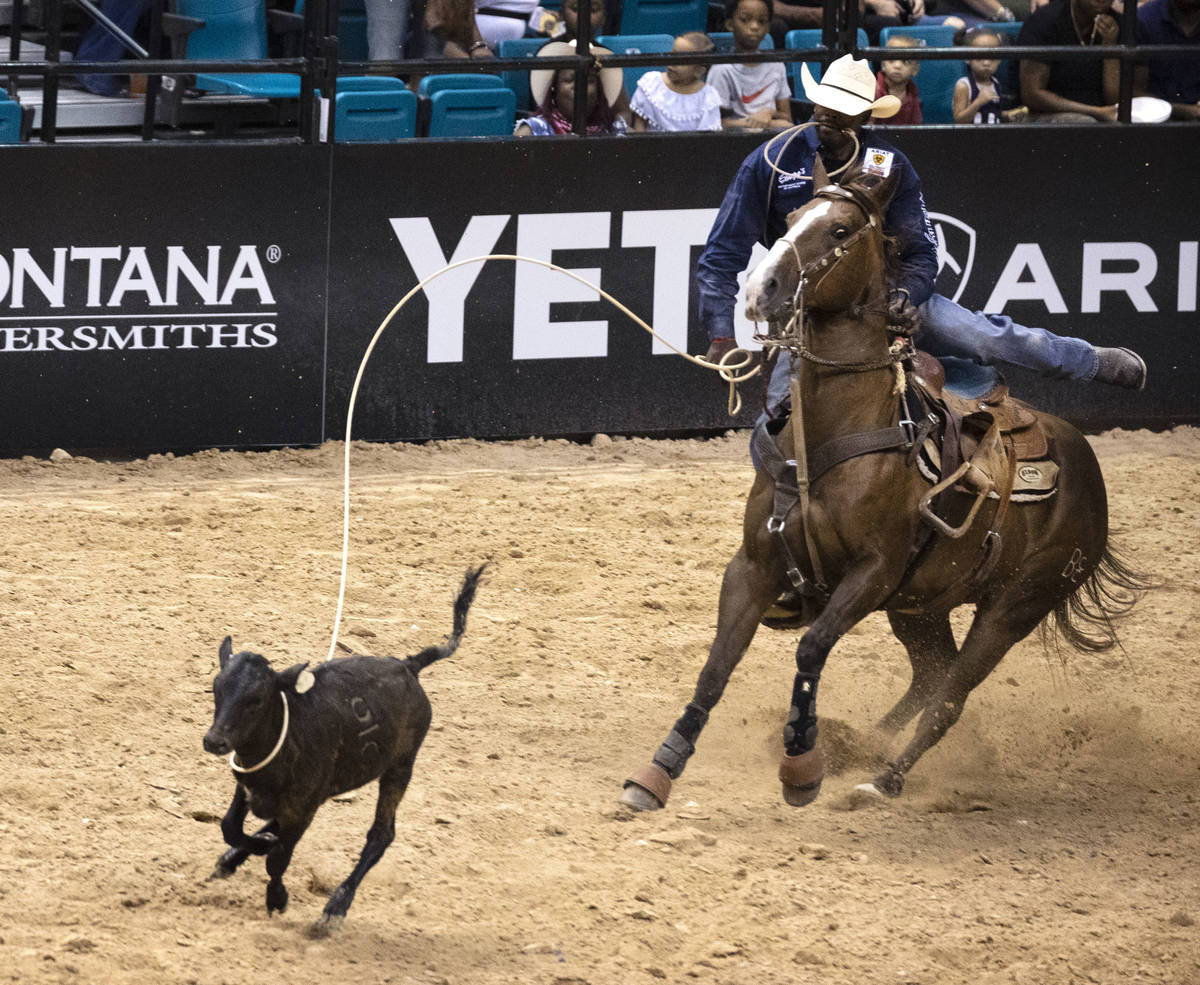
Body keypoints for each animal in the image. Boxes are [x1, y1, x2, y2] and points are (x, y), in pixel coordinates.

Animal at [204, 563, 484, 935]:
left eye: (257, 699)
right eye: (216, 687)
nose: (214, 740)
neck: (289, 736)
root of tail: (409, 666)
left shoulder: (302, 809)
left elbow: (278, 859)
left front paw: (277, 899)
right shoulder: (248, 788)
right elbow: (231, 828)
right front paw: (241, 854)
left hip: (399, 768)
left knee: (381, 835)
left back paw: (335, 907)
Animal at [619, 159, 1142, 806]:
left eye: (841, 230)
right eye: (792, 217)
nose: (761, 288)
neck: (835, 432)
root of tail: (1086, 465)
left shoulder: (874, 572)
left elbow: (811, 647)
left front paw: (801, 765)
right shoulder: (755, 564)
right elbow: (716, 665)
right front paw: (658, 772)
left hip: (1015, 606)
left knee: (949, 698)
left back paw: (882, 777)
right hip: (921, 605)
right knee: (930, 678)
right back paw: (861, 747)